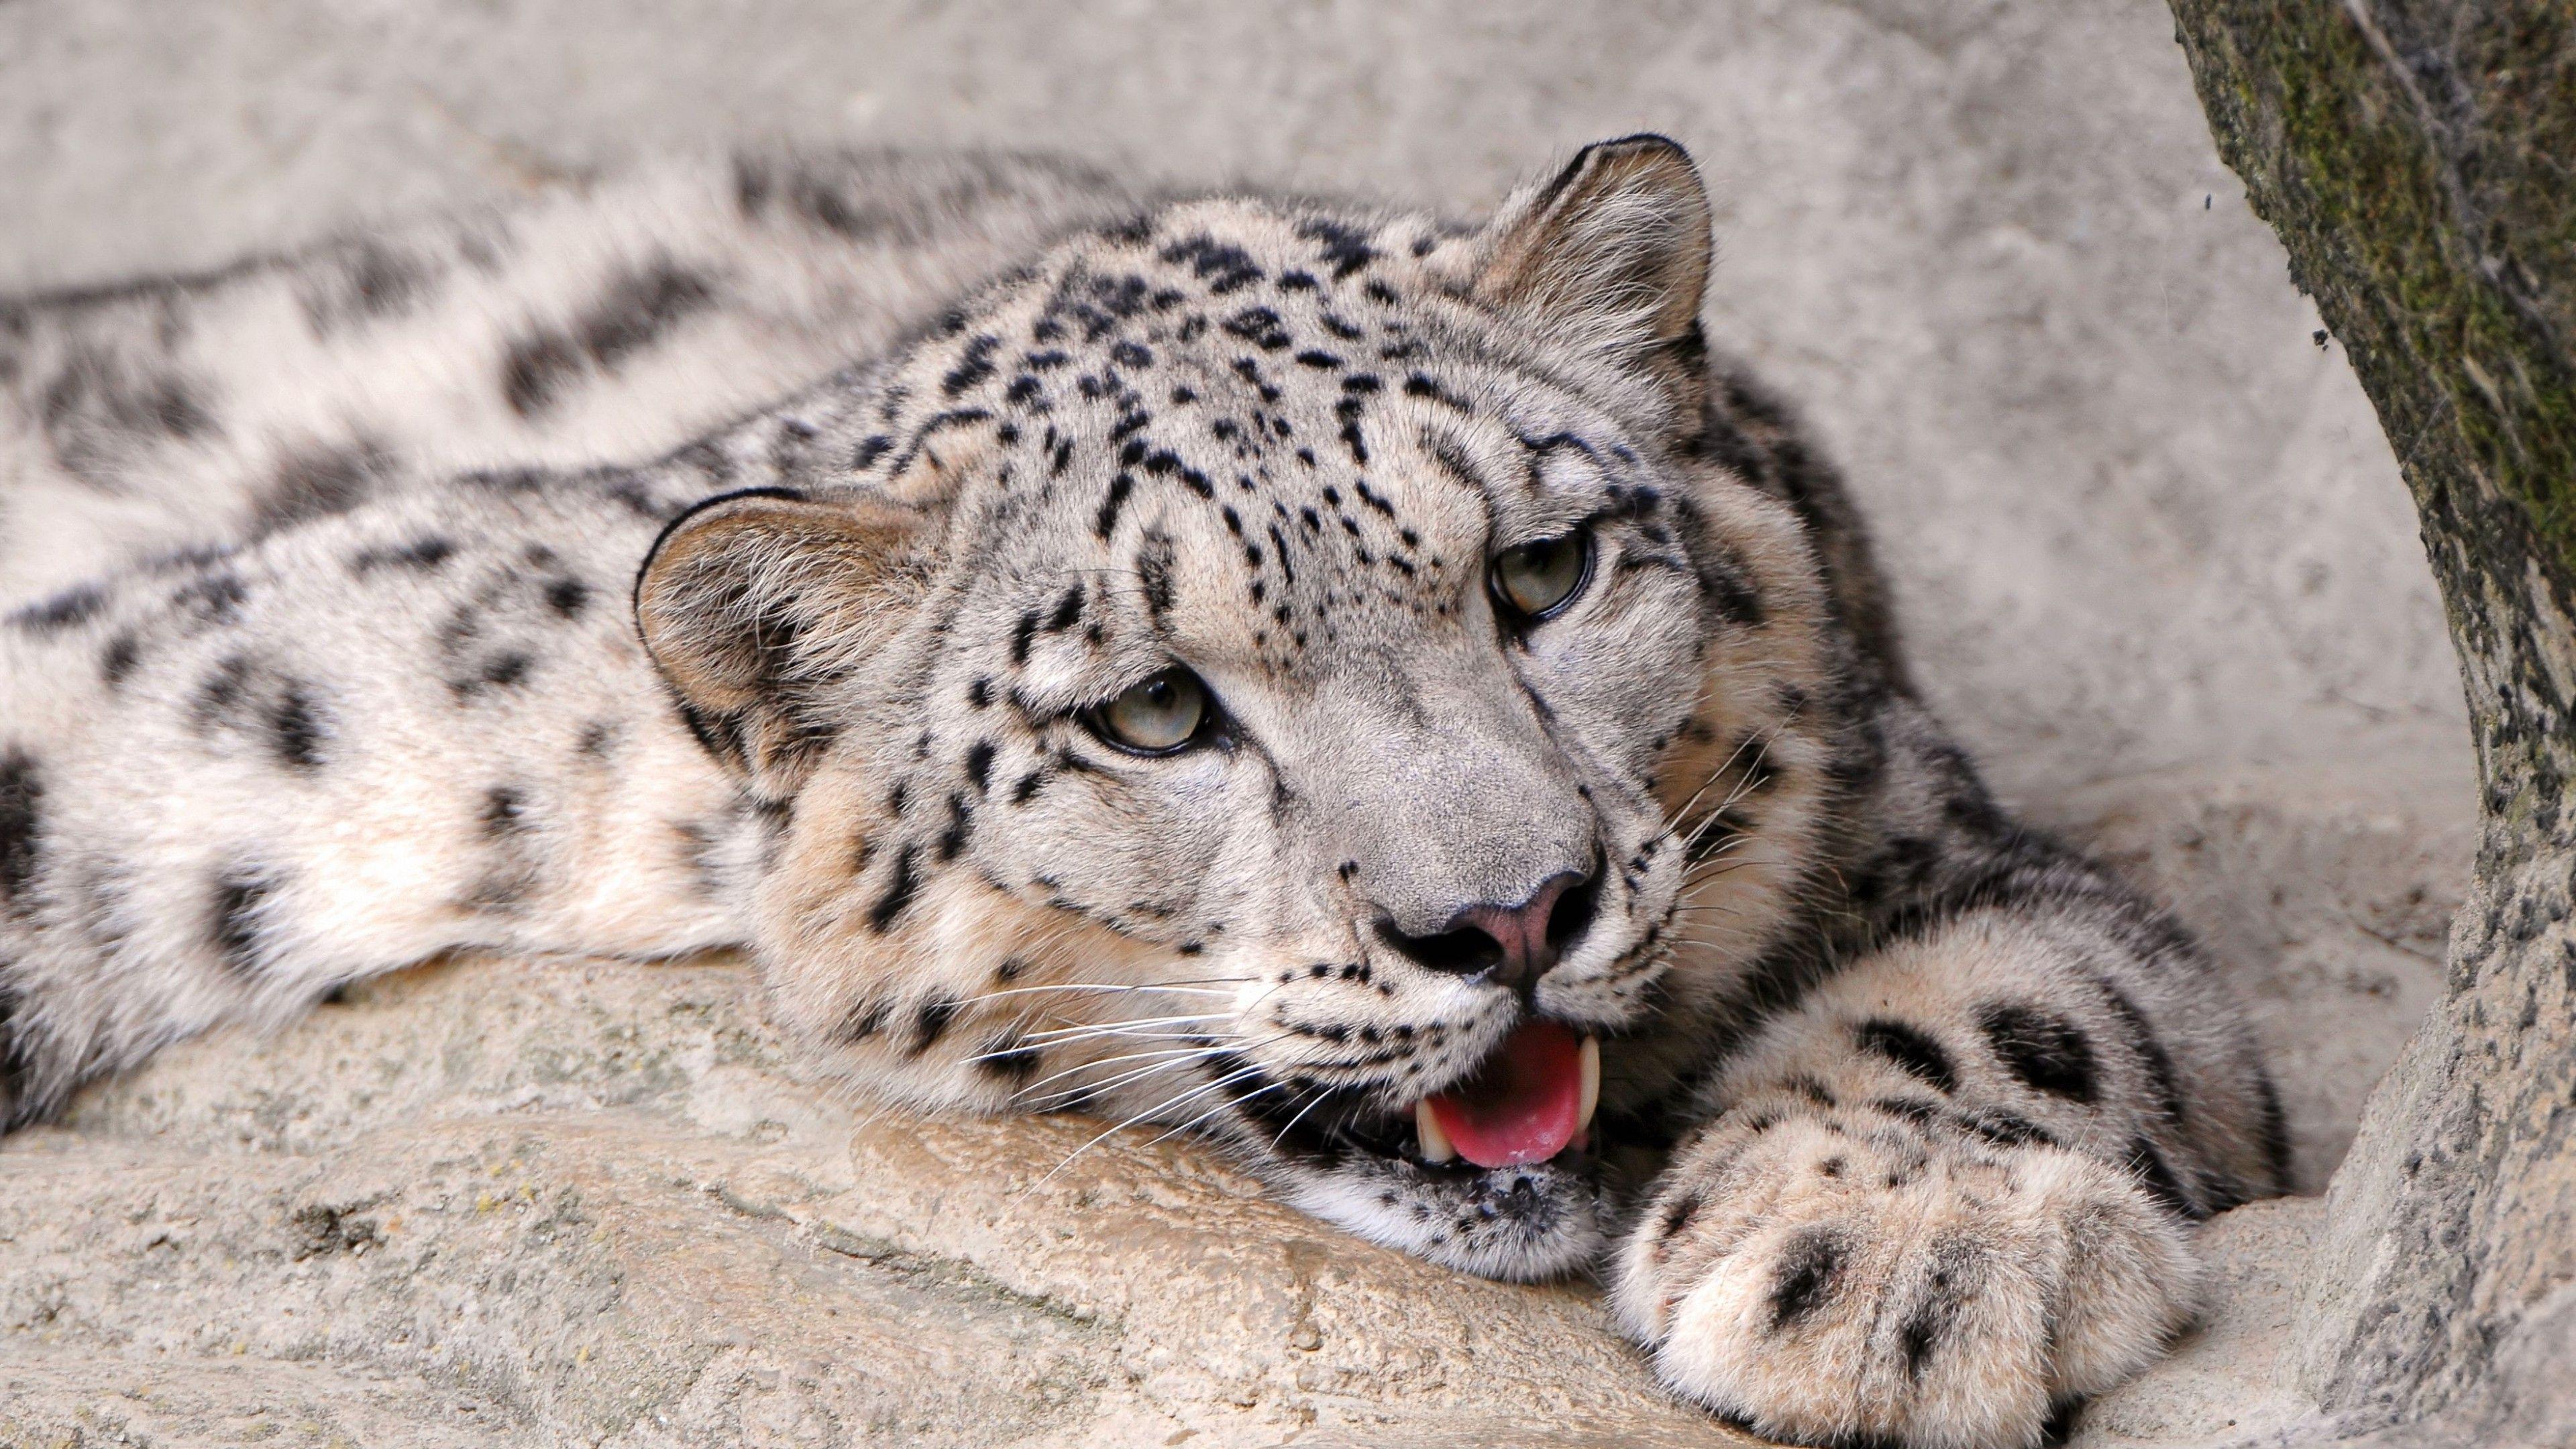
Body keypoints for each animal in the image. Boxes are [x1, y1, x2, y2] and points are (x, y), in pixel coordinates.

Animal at [0, 136, 2291, 1449]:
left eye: (1542, 573)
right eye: (1158, 714)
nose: (1509, 916)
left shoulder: (1928, 815)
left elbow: (2043, 986)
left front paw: (1895, 1240)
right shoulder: (279, 693)